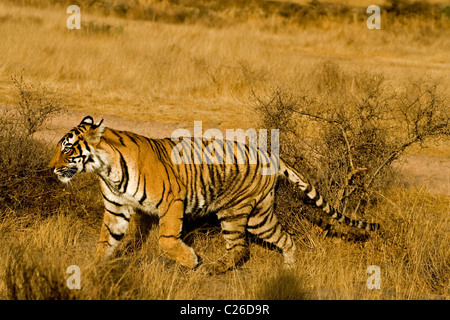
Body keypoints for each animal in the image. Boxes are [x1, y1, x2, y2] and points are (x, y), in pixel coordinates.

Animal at [49, 116, 380, 274]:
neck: (106, 169)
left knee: (245, 248)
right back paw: (283, 271)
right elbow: (105, 243)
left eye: (67, 148)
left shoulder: (172, 201)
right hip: (258, 215)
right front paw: (91, 271)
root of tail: (268, 153)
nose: (51, 168)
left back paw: (210, 268)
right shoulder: (117, 209)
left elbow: (166, 240)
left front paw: (190, 259)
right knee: (277, 240)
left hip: (236, 212)